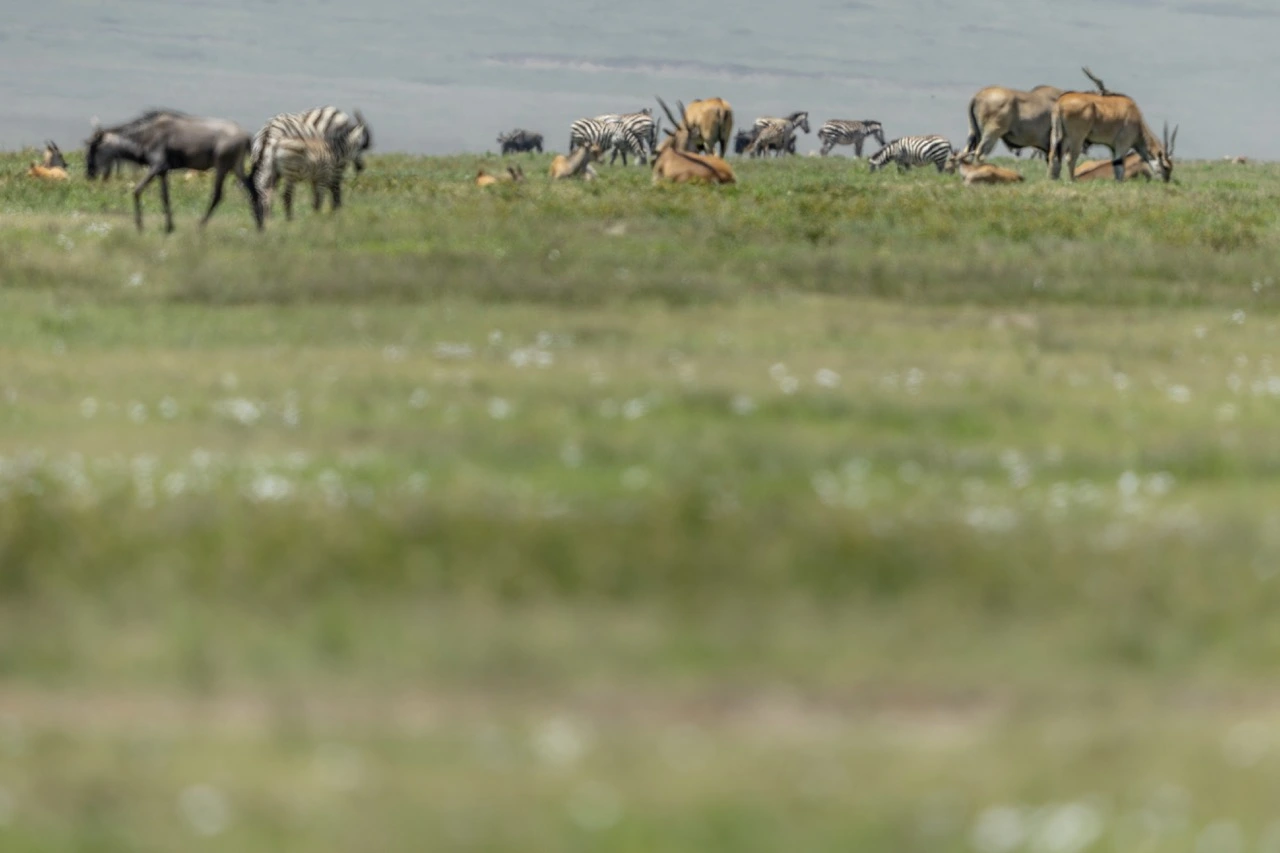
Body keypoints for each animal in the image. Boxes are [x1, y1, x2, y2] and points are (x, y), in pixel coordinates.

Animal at [1044, 91, 1172, 180]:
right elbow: (1119, 166)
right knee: (1070, 158)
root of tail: (1060, 102)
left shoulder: (1113, 147)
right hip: (1077, 137)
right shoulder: (1122, 145)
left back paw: (1053, 179)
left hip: (1059, 135)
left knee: (1053, 155)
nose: (1166, 181)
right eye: (1166, 167)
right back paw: (1072, 180)